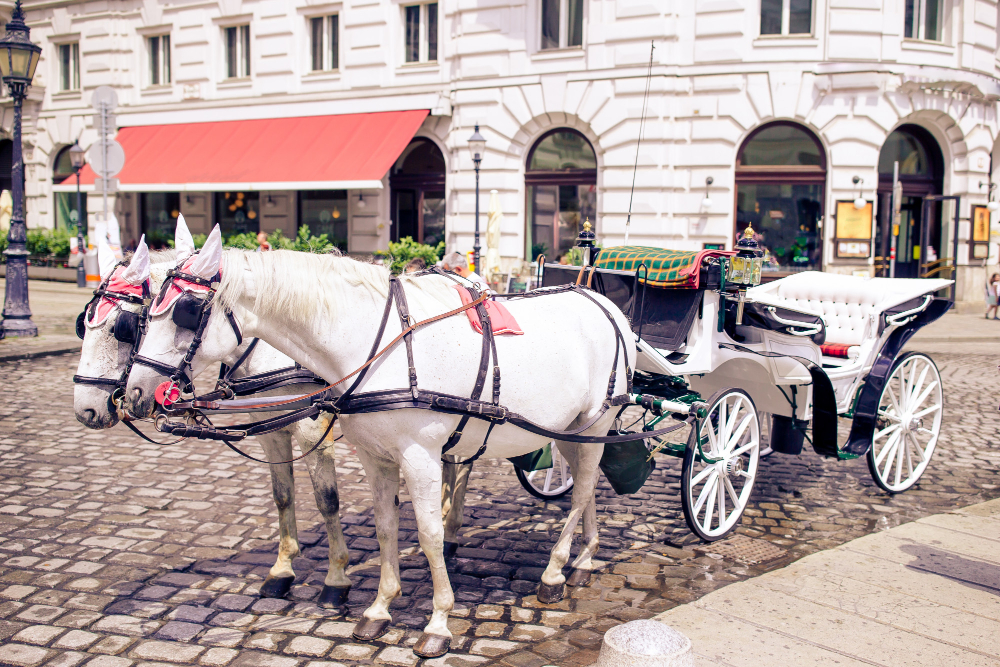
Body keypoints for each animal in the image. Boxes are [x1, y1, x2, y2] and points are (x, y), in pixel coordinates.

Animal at [73, 224, 352, 604]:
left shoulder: (313, 430)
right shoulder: (271, 432)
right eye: (82, 325)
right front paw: (282, 570)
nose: (84, 410)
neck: (271, 343)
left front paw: (336, 578)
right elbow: (283, 496)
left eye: (124, 327)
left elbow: (327, 501)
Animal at [127, 227, 632, 660]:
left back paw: (555, 571)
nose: (133, 393)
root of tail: (599, 298)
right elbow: (385, 526)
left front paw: (437, 623)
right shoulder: (375, 457)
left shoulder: (420, 457)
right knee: (585, 486)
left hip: (598, 419)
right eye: (142, 315)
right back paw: (584, 560)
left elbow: (428, 534)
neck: (376, 345)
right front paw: (379, 608)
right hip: (571, 430)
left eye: (186, 311)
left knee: (581, 493)